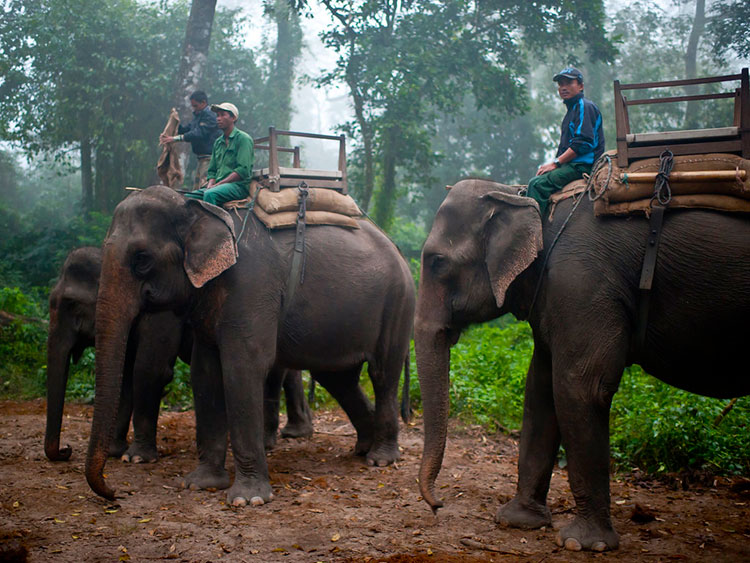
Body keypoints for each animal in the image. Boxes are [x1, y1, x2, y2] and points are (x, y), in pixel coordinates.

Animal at [47, 249, 312, 464]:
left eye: (70, 304)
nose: (66, 450)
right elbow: (125, 377)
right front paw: (114, 451)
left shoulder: (162, 316)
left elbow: (148, 369)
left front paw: (135, 457)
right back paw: (297, 432)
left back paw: (269, 442)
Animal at [88, 187, 418, 508]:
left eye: (142, 259)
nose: (116, 495)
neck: (198, 207)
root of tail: (398, 249)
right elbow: (205, 373)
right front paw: (200, 483)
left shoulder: (250, 285)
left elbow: (242, 367)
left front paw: (248, 499)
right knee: (338, 379)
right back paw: (363, 449)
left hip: (398, 302)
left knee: (382, 374)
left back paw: (381, 459)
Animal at [418, 178, 750, 552]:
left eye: (437, 262)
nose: (438, 505)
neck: (526, 200)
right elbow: (540, 389)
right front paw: (517, 521)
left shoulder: (581, 282)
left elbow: (579, 388)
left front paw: (584, 544)